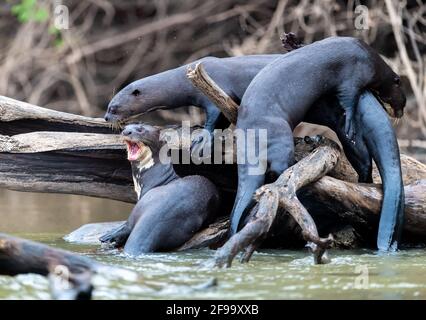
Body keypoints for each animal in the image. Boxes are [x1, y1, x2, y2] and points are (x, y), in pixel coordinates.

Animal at [99, 124, 220, 254]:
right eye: (125, 127)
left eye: (141, 129)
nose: (126, 132)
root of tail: (160, 214)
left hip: (140, 206)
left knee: (128, 226)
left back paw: (107, 237)